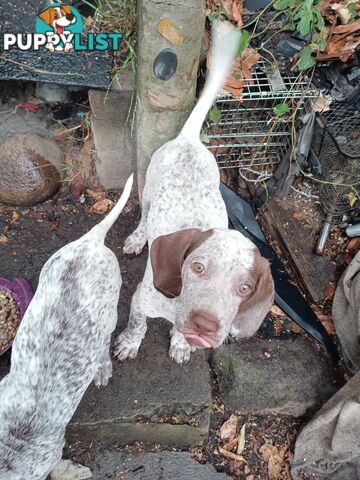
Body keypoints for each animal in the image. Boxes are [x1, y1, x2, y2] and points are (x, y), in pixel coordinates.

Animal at [115, 22, 276, 364]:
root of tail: (189, 139)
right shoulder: (139, 300)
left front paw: (180, 342)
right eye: (197, 267)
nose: (205, 325)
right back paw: (138, 238)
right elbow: (138, 325)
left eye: (245, 288)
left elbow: (178, 334)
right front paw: (130, 343)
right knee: (144, 216)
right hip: (148, 189)